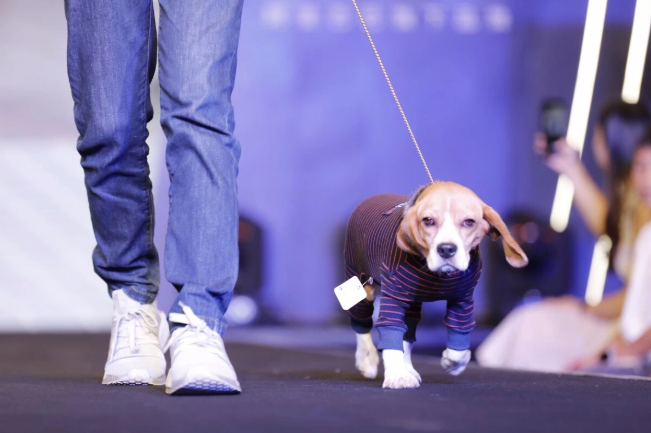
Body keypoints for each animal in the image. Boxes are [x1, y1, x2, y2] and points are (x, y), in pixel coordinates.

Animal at [344, 181, 528, 390]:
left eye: (469, 222)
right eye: (428, 221)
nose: (446, 249)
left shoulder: (463, 299)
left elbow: (459, 330)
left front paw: (453, 361)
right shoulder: (394, 299)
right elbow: (390, 330)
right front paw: (397, 375)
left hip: (412, 305)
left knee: (407, 334)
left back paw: (409, 367)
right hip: (361, 285)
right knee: (362, 326)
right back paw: (367, 360)